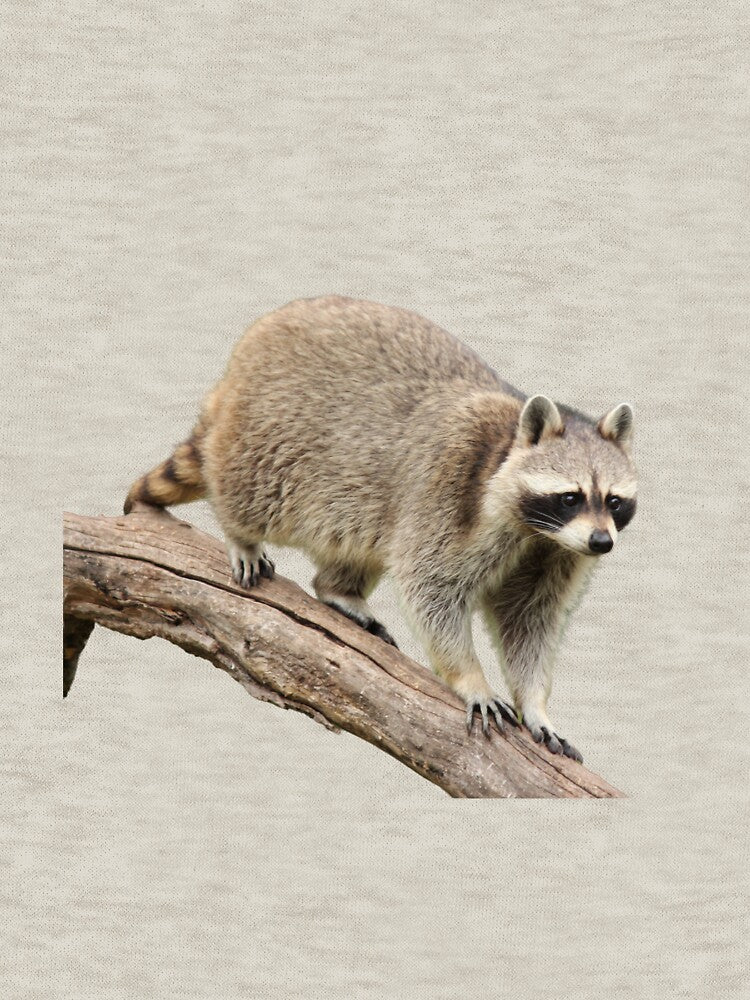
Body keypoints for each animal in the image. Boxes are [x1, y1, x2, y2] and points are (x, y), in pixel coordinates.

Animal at [125, 296, 637, 762]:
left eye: (614, 501)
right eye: (570, 497)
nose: (602, 542)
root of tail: (238, 365)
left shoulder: (556, 552)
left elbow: (529, 619)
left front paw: (535, 704)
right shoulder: (446, 494)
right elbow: (433, 590)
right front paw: (470, 677)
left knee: (361, 540)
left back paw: (338, 587)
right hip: (272, 433)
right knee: (252, 492)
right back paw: (241, 533)